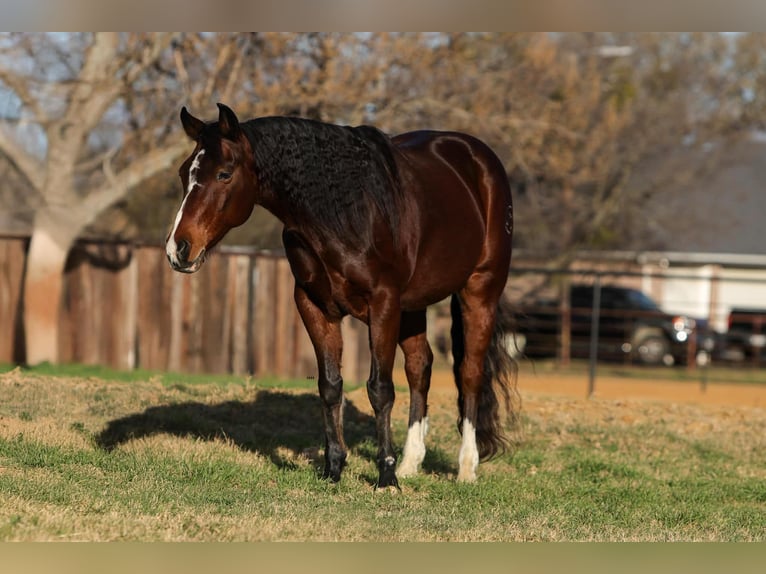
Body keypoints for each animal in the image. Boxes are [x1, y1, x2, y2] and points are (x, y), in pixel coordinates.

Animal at [166, 103, 518, 488]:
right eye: (184, 172)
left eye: (224, 173)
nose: (178, 249)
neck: (345, 212)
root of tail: (478, 158)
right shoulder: (314, 306)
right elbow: (330, 385)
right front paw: (333, 468)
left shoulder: (383, 304)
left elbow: (380, 388)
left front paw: (385, 476)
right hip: (414, 304)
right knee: (420, 367)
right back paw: (411, 463)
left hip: (479, 291)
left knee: (469, 372)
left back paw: (465, 468)